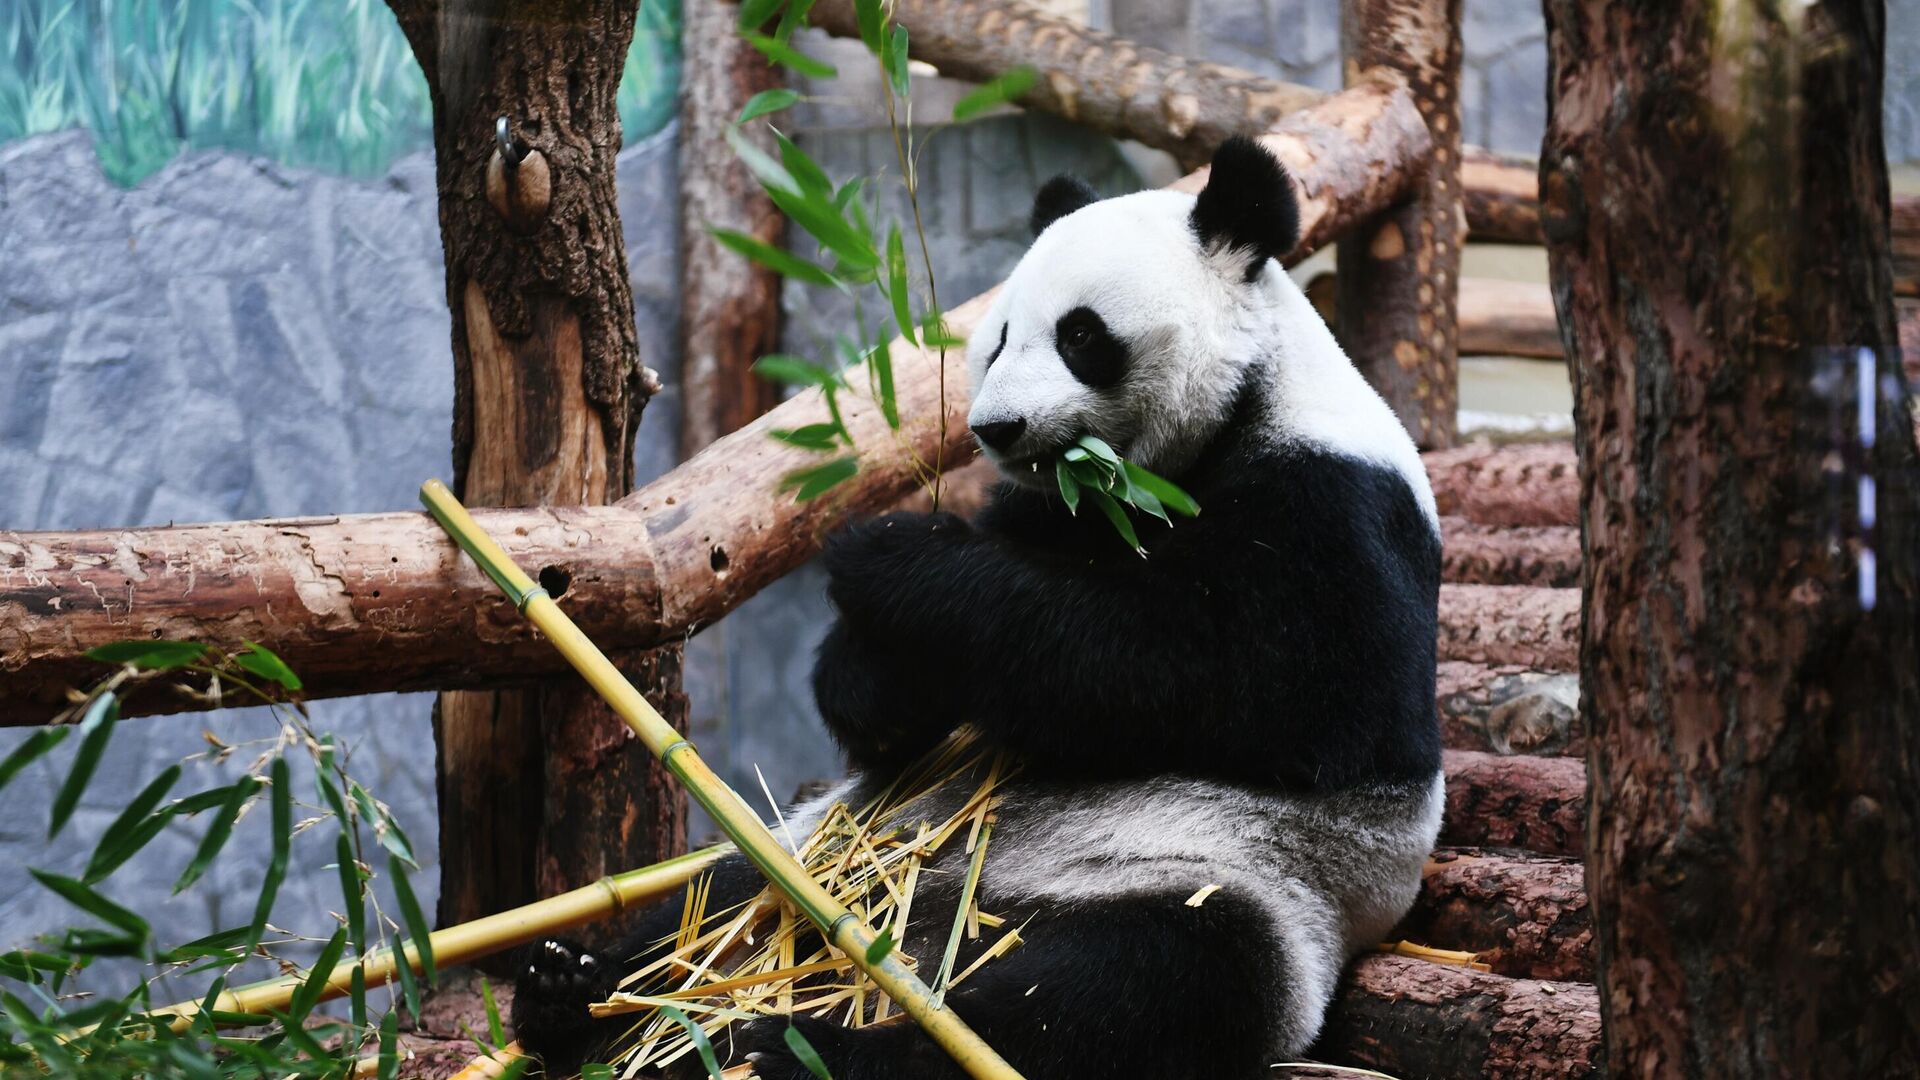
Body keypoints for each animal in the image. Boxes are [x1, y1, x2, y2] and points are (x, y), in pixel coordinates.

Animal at [510, 134, 1443, 1076]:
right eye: (994, 341)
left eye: (1080, 335)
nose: (996, 429)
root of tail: (926, 927)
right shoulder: (1049, 510)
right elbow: (898, 712)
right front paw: (880, 667)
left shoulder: (1334, 511)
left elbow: (1232, 677)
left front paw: (892, 558)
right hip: (829, 842)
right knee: (717, 896)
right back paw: (572, 991)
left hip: (1226, 885)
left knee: (1124, 989)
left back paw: (808, 1048)